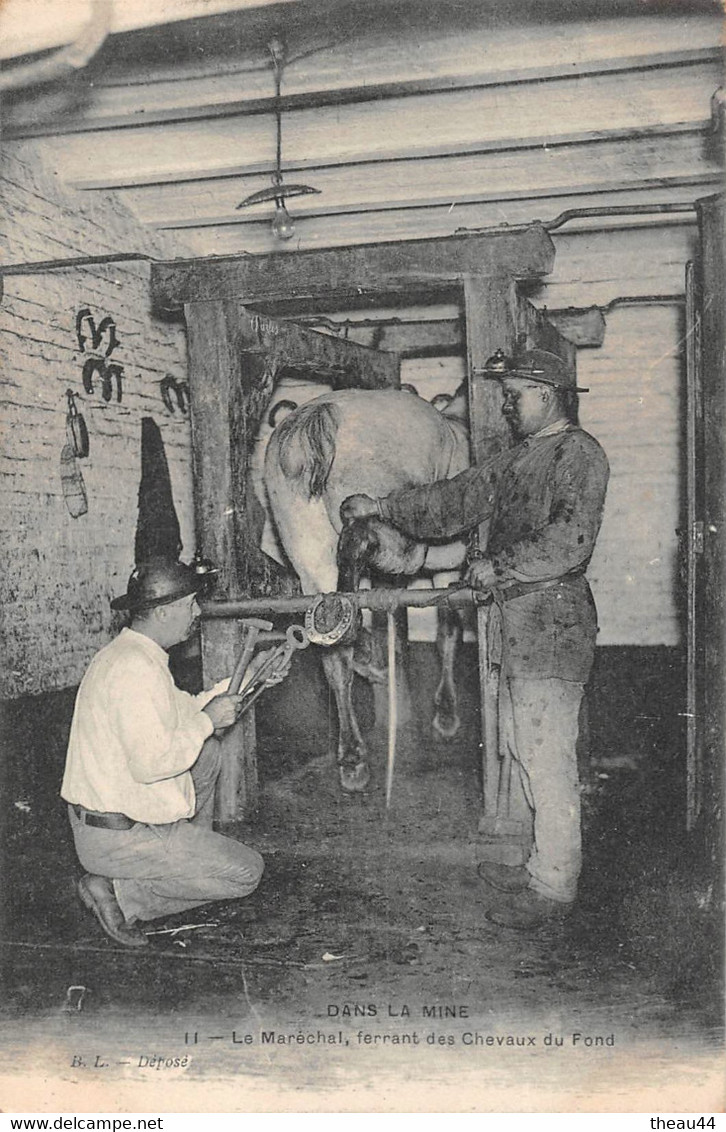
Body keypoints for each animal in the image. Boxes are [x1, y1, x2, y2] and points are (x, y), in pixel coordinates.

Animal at [265, 384, 471, 792]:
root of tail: (316, 416)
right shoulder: (450, 567)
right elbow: (449, 632)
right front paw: (446, 717)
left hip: (311, 558)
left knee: (332, 646)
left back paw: (353, 757)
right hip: (404, 541)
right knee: (359, 539)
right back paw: (365, 652)